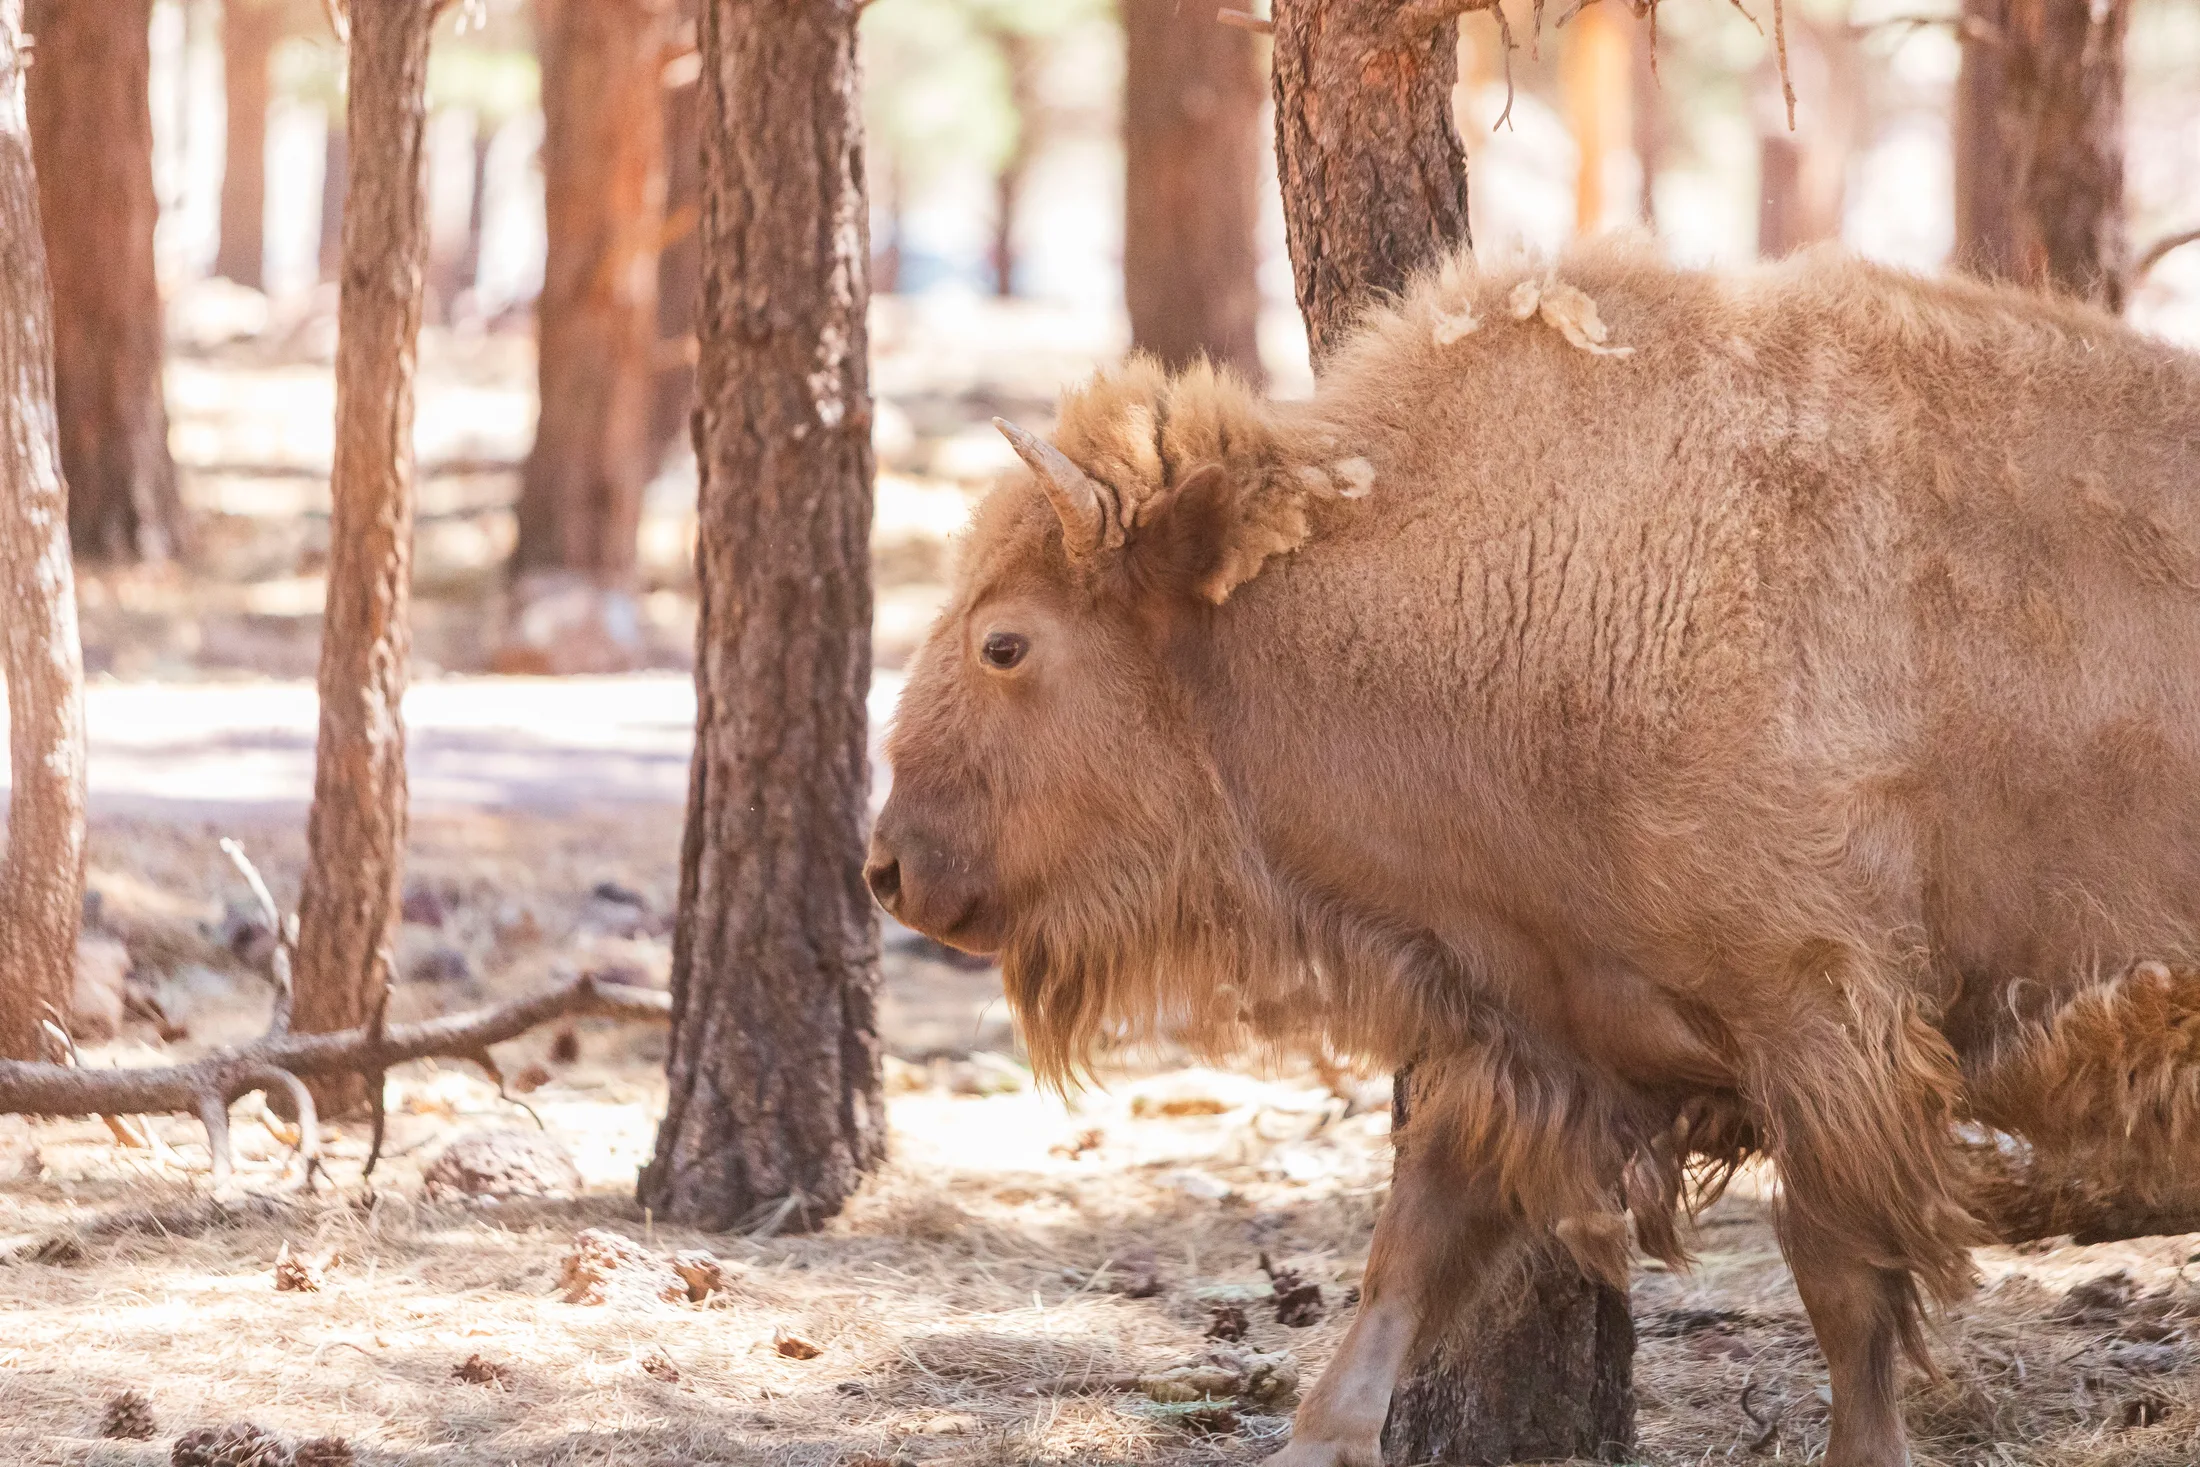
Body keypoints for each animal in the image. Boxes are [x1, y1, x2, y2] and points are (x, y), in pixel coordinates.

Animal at [867, 241, 2200, 1467]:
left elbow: (1842, 1286)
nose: (887, 870)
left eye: (1003, 643)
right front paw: (1320, 1437)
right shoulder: (1533, 1028)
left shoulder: (1819, 1024)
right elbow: (1409, 1255)